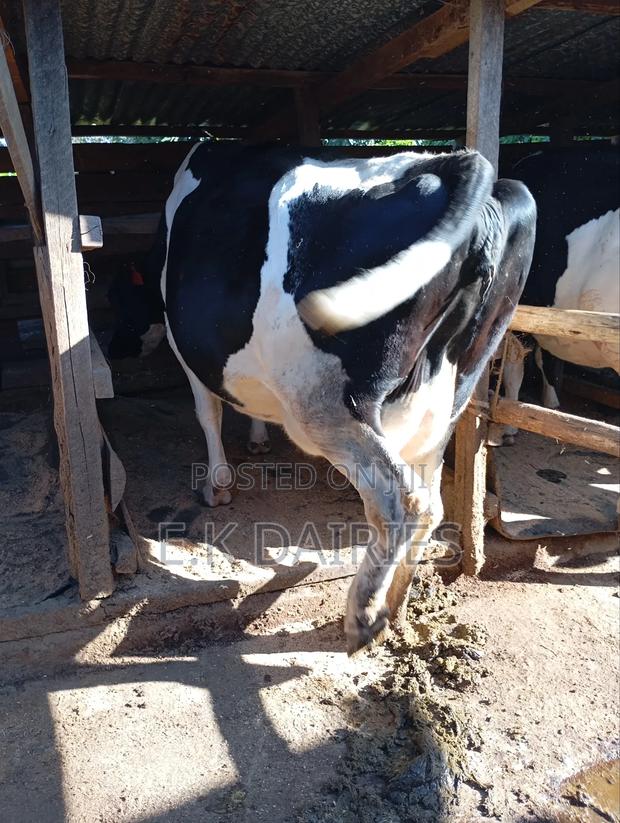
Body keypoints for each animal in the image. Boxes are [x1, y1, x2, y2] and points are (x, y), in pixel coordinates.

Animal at [109, 143, 536, 653]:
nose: (112, 347)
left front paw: (218, 484)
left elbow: (207, 412)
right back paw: (396, 604)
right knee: (431, 501)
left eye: (118, 301)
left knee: (401, 500)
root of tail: (448, 162)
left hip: (328, 405)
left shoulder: (189, 351)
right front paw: (257, 438)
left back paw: (363, 616)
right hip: (449, 398)